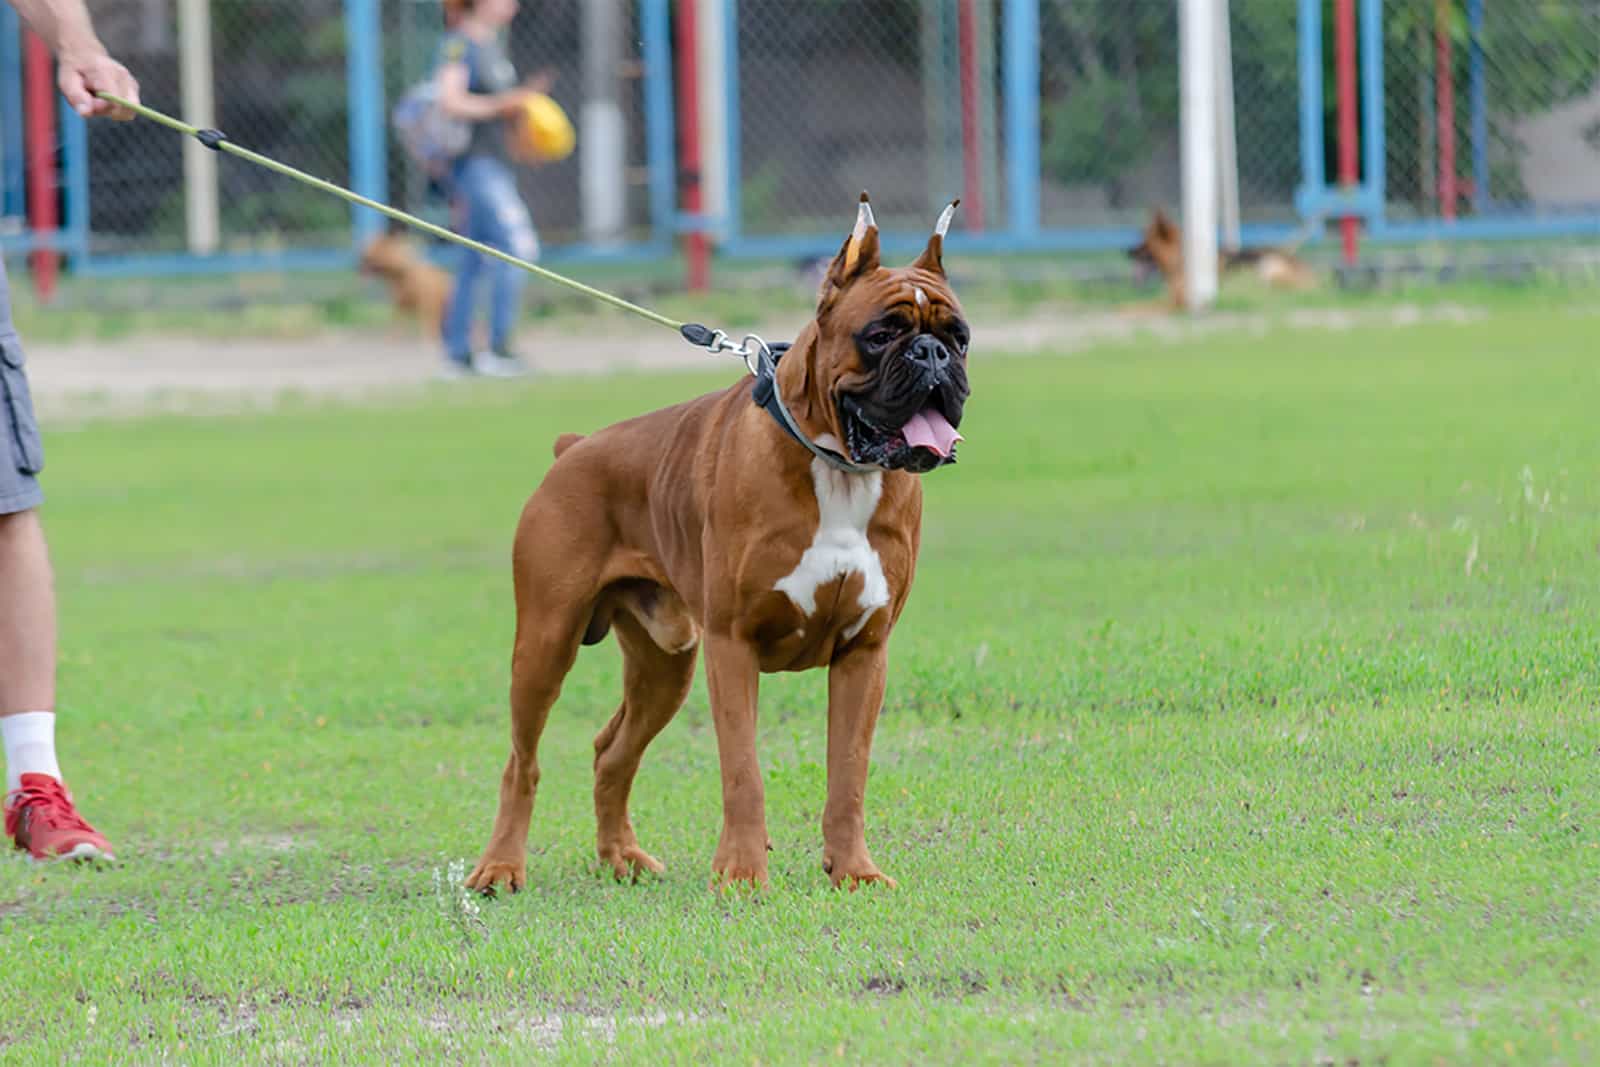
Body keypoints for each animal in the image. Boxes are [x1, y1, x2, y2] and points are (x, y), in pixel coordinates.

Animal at [457, 194, 966, 895]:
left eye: (960, 337)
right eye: (882, 335)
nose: (934, 356)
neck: (836, 467)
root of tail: (574, 448)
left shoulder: (864, 654)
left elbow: (849, 775)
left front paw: (853, 871)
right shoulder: (734, 647)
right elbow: (743, 772)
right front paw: (742, 874)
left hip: (664, 664)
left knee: (611, 752)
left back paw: (621, 857)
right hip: (545, 645)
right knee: (521, 762)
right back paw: (502, 866)